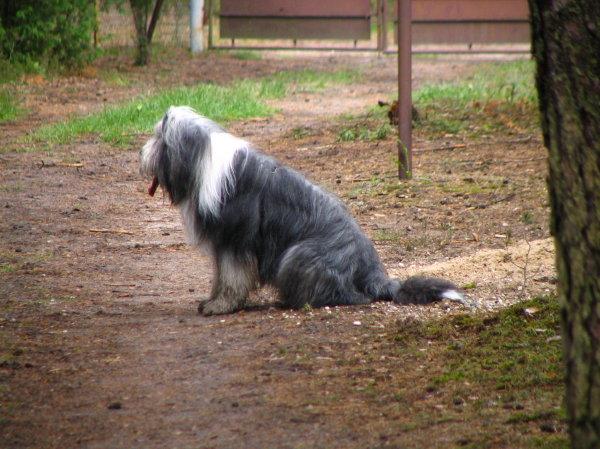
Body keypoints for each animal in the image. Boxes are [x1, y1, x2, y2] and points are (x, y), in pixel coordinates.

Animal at [141, 105, 464, 316]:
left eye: (158, 138)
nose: (141, 154)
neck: (204, 159)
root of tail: (374, 272)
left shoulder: (236, 241)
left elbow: (232, 278)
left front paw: (219, 306)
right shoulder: (226, 243)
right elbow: (222, 277)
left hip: (298, 254)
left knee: (345, 296)